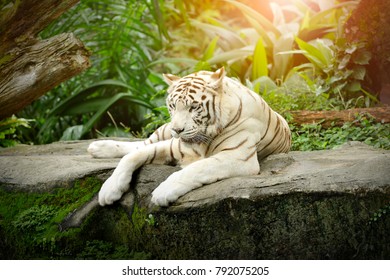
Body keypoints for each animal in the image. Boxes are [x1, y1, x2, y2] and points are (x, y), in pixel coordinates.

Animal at [87, 67, 290, 207]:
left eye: (193, 107)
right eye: (172, 106)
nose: (177, 129)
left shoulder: (238, 156)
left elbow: (197, 168)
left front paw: (162, 192)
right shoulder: (174, 145)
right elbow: (132, 156)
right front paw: (109, 190)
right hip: (163, 131)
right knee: (140, 144)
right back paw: (97, 148)